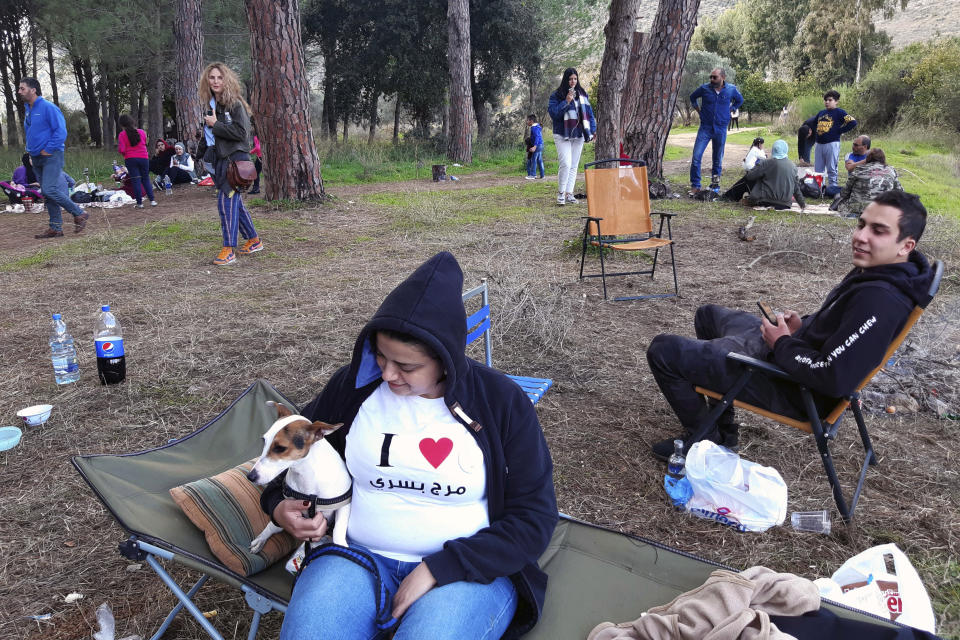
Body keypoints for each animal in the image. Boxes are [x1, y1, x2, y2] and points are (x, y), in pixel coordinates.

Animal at [248, 402, 352, 552]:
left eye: (280, 448)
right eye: (263, 441)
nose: (250, 477)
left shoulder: (344, 506)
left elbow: (338, 530)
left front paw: (341, 546)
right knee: (272, 526)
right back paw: (261, 540)